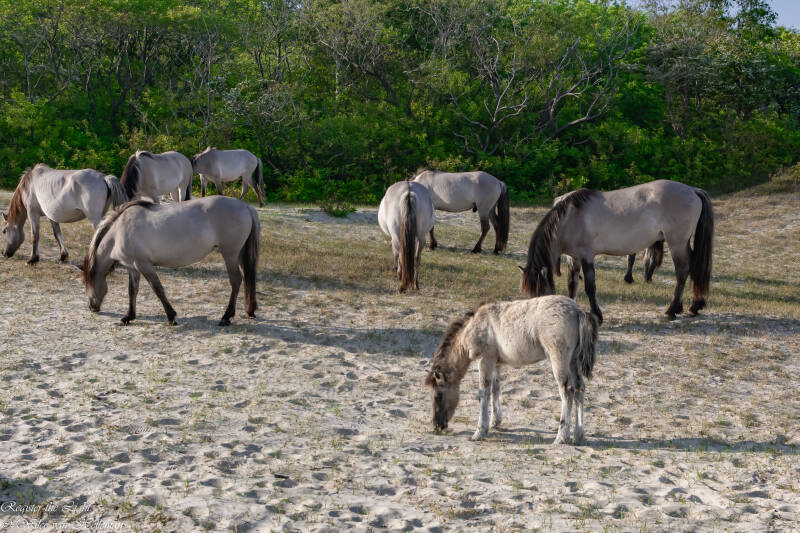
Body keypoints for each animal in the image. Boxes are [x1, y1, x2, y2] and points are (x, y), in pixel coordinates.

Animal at [79, 196, 260, 326]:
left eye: (87, 282)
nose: (91, 307)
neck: (118, 232)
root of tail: (245, 206)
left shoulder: (143, 265)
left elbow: (157, 289)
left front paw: (171, 316)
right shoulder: (133, 268)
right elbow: (132, 290)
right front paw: (128, 316)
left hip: (230, 254)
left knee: (236, 280)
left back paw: (226, 317)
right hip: (239, 254)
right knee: (247, 278)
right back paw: (249, 311)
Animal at [424, 295, 598, 444]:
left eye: (438, 396)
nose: (437, 425)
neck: (475, 325)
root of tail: (577, 310)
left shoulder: (484, 360)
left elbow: (483, 392)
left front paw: (479, 432)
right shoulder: (496, 363)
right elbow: (495, 389)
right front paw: (495, 422)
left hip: (559, 360)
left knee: (567, 392)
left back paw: (561, 437)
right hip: (573, 361)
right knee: (579, 389)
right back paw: (579, 434)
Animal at [521, 180, 713, 323]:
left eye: (540, 294)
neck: (569, 218)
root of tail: (693, 190)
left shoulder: (586, 256)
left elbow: (590, 287)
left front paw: (597, 315)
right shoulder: (573, 258)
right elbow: (572, 284)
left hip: (676, 243)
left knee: (682, 271)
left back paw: (672, 310)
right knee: (693, 267)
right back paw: (692, 306)